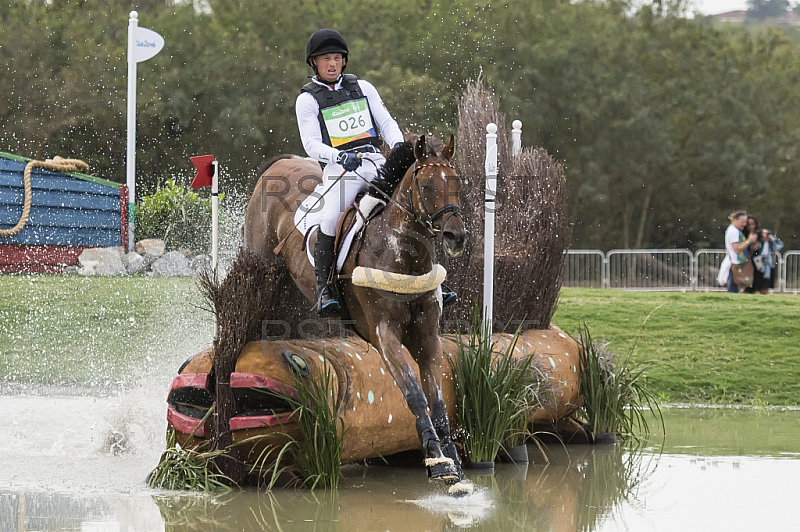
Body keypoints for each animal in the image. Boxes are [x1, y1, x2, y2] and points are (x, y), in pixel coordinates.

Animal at [244, 135, 468, 488]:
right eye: (427, 186)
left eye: (457, 182)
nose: (456, 236)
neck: (404, 255)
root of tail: (280, 164)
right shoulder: (385, 336)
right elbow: (415, 395)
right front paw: (437, 461)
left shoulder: (428, 337)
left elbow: (437, 400)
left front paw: (453, 465)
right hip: (258, 260)